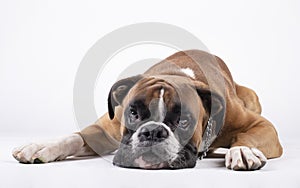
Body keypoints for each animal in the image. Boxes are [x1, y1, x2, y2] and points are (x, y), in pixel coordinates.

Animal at [12, 49, 282, 170]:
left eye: (184, 122)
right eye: (133, 113)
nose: (152, 132)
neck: (174, 74)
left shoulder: (261, 125)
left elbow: (248, 136)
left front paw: (243, 150)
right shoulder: (105, 128)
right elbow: (75, 137)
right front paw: (41, 147)